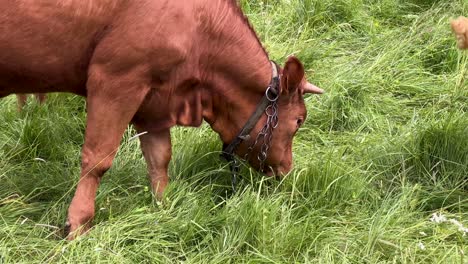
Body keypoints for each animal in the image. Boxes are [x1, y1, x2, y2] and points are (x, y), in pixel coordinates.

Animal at [0, 0, 322, 239]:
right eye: (299, 121)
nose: (287, 169)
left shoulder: (155, 102)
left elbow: (159, 159)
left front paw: (164, 209)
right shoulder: (116, 79)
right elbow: (98, 159)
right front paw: (77, 224)